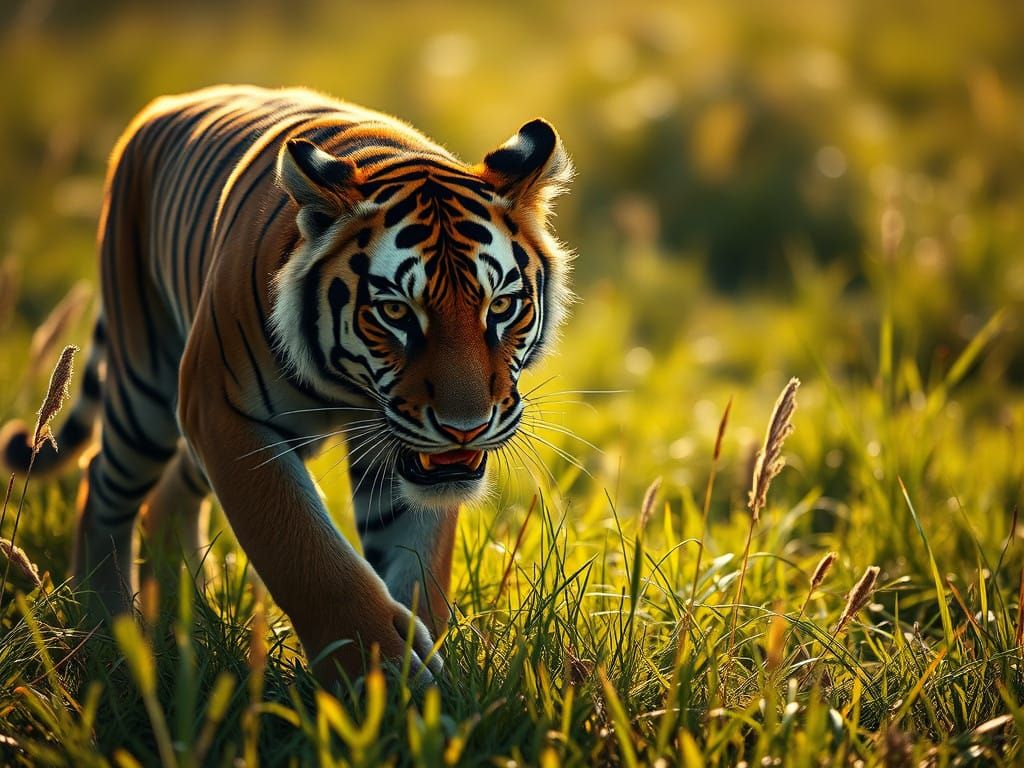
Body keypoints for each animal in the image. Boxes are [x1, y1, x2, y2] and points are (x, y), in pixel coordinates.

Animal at [0, 85, 573, 682]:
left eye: (501, 306)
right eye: (395, 311)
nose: (467, 428)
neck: (350, 389)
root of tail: (163, 104)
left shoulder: (400, 449)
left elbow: (417, 562)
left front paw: (423, 678)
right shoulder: (222, 412)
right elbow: (304, 551)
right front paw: (375, 672)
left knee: (169, 493)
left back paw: (184, 613)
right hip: (146, 387)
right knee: (101, 483)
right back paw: (108, 632)